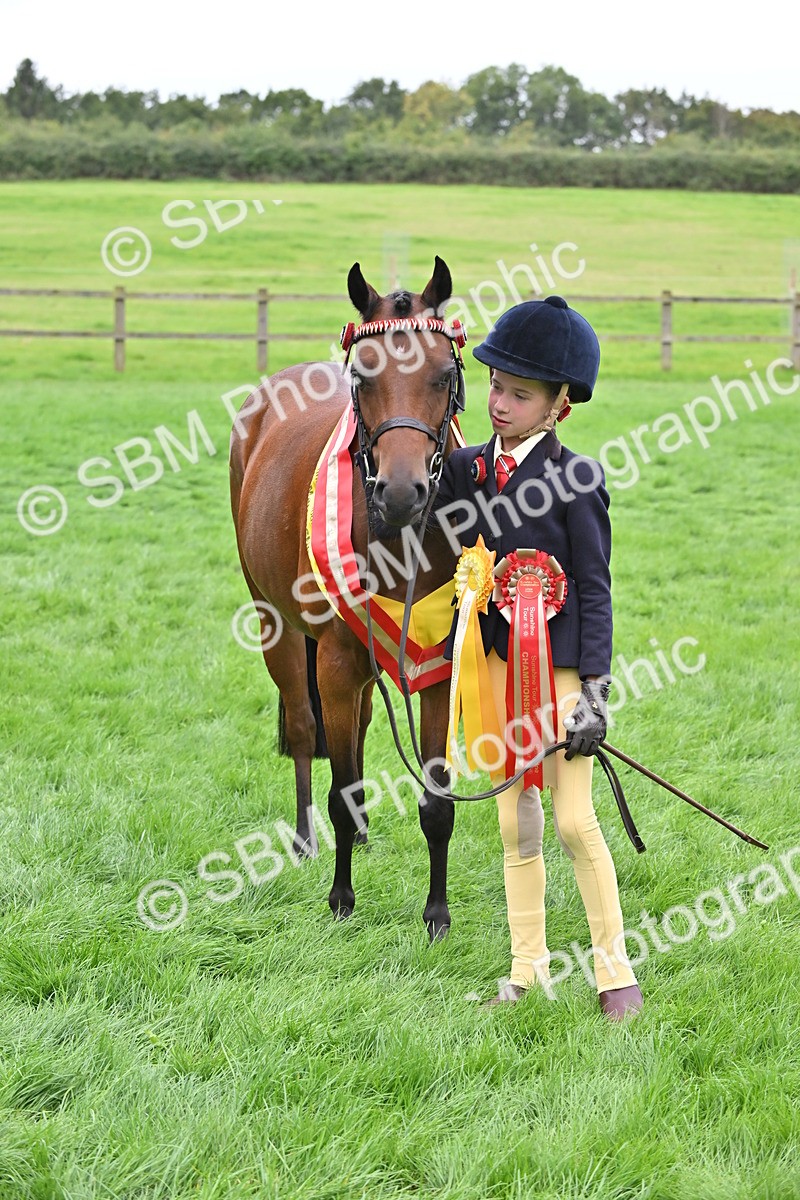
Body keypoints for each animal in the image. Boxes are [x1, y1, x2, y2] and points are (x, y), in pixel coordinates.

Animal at [229, 257, 464, 939]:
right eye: (363, 376)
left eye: (445, 375)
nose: (403, 492)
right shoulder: (332, 658)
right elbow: (335, 783)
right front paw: (341, 899)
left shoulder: (435, 665)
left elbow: (437, 799)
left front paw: (436, 914)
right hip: (278, 628)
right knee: (308, 731)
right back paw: (310, 839)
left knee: (356, 726)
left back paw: (359, 833)